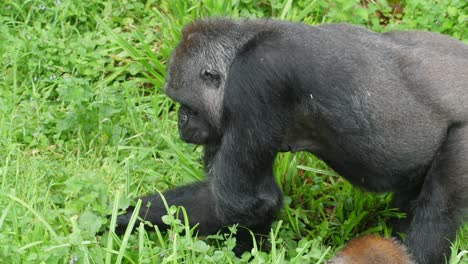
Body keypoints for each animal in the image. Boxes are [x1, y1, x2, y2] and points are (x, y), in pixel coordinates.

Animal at [115, 18, 466, 264]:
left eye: (185, 104)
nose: (181, 123)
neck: (247, 44)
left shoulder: (256, 80)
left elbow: (247, 200)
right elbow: (215, 196)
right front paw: (123, 218)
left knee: (437, 211)